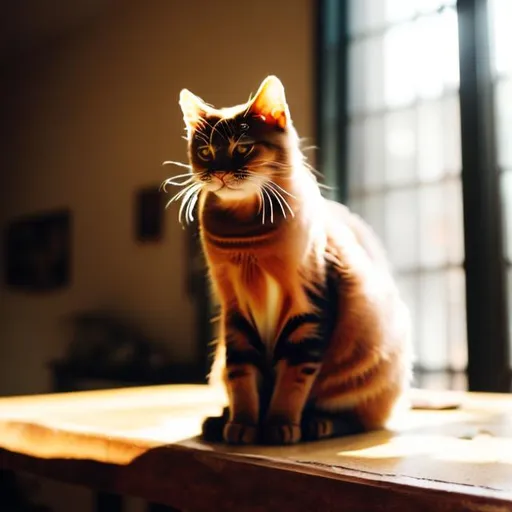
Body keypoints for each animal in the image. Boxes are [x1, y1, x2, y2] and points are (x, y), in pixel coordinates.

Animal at [168, 75, 412, 444]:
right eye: (205, 153)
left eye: (243, 148)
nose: (220, 173)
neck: (248, 241)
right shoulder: (235, 312)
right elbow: (242, 376)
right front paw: (242, 424)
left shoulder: (308, 308)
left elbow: (294, 378)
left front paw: (280, 425)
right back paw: (218, 420)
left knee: (359, 417)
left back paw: (317, 423)